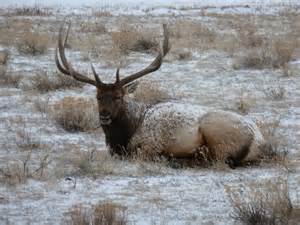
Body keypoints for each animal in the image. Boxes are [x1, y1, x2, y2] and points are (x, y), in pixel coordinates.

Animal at [55, 22, 264, 168]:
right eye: (98, 97)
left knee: (220, 159)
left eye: (118, 97)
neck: (125, 135)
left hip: (215, 132)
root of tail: (259, 141)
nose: (104, 115)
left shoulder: (151, 145)